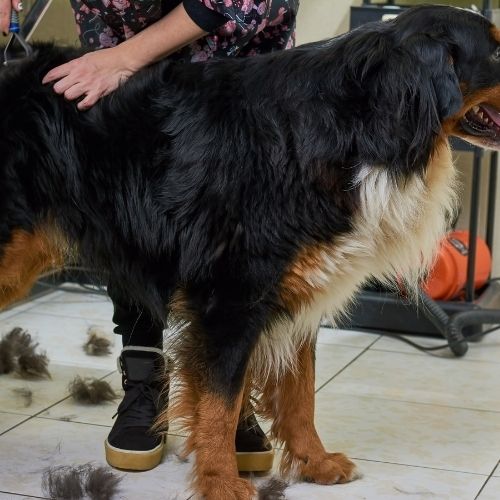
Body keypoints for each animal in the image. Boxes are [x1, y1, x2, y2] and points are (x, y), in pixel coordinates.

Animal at [0, 5, 500, 498]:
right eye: (496, 50)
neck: (358, 124)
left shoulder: (302, 286)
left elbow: (300, 393)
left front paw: (315, 462)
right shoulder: (232, 295)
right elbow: (220, 401)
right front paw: (221, 481)